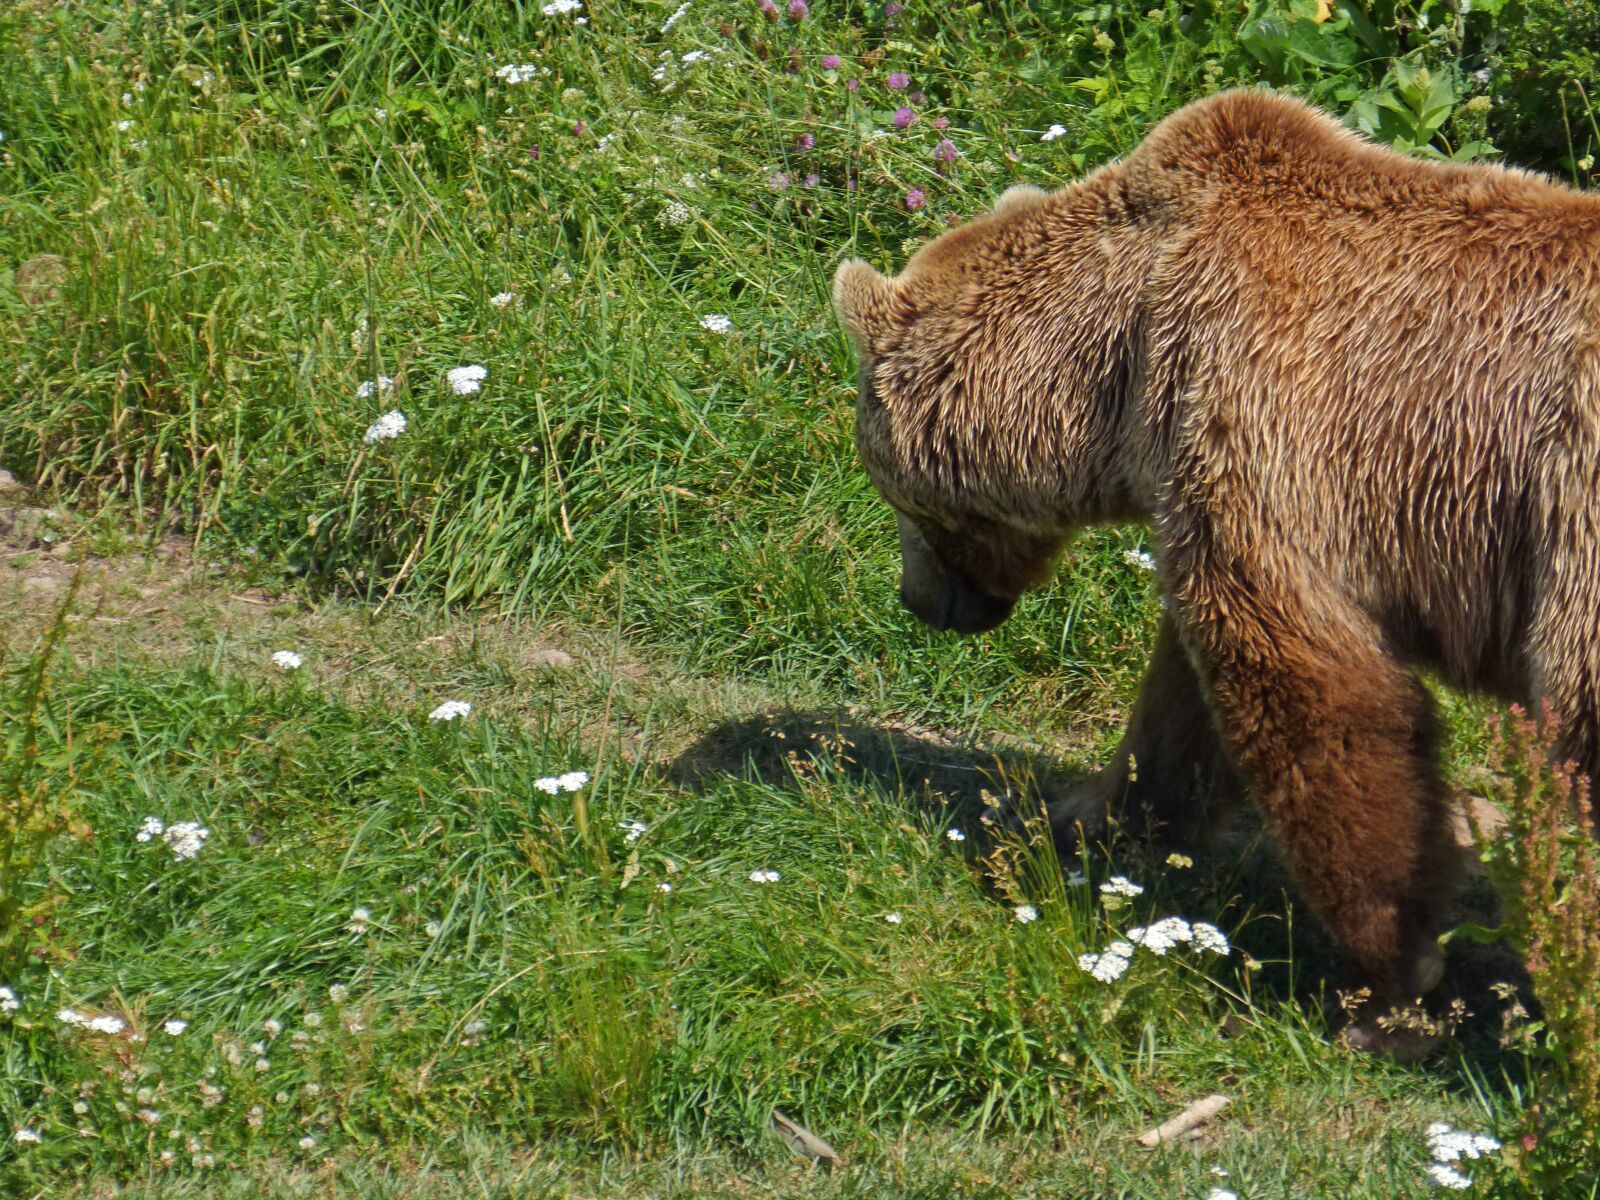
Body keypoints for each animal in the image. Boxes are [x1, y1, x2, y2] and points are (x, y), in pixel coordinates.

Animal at [832, 91, 1600, 1049]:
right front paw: (1079, 815)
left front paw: (1387, 984)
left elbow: (1313, 688)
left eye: (890, 491)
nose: (921, 602)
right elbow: (1182, 701)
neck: (1114, 360)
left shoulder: (1265, 420)